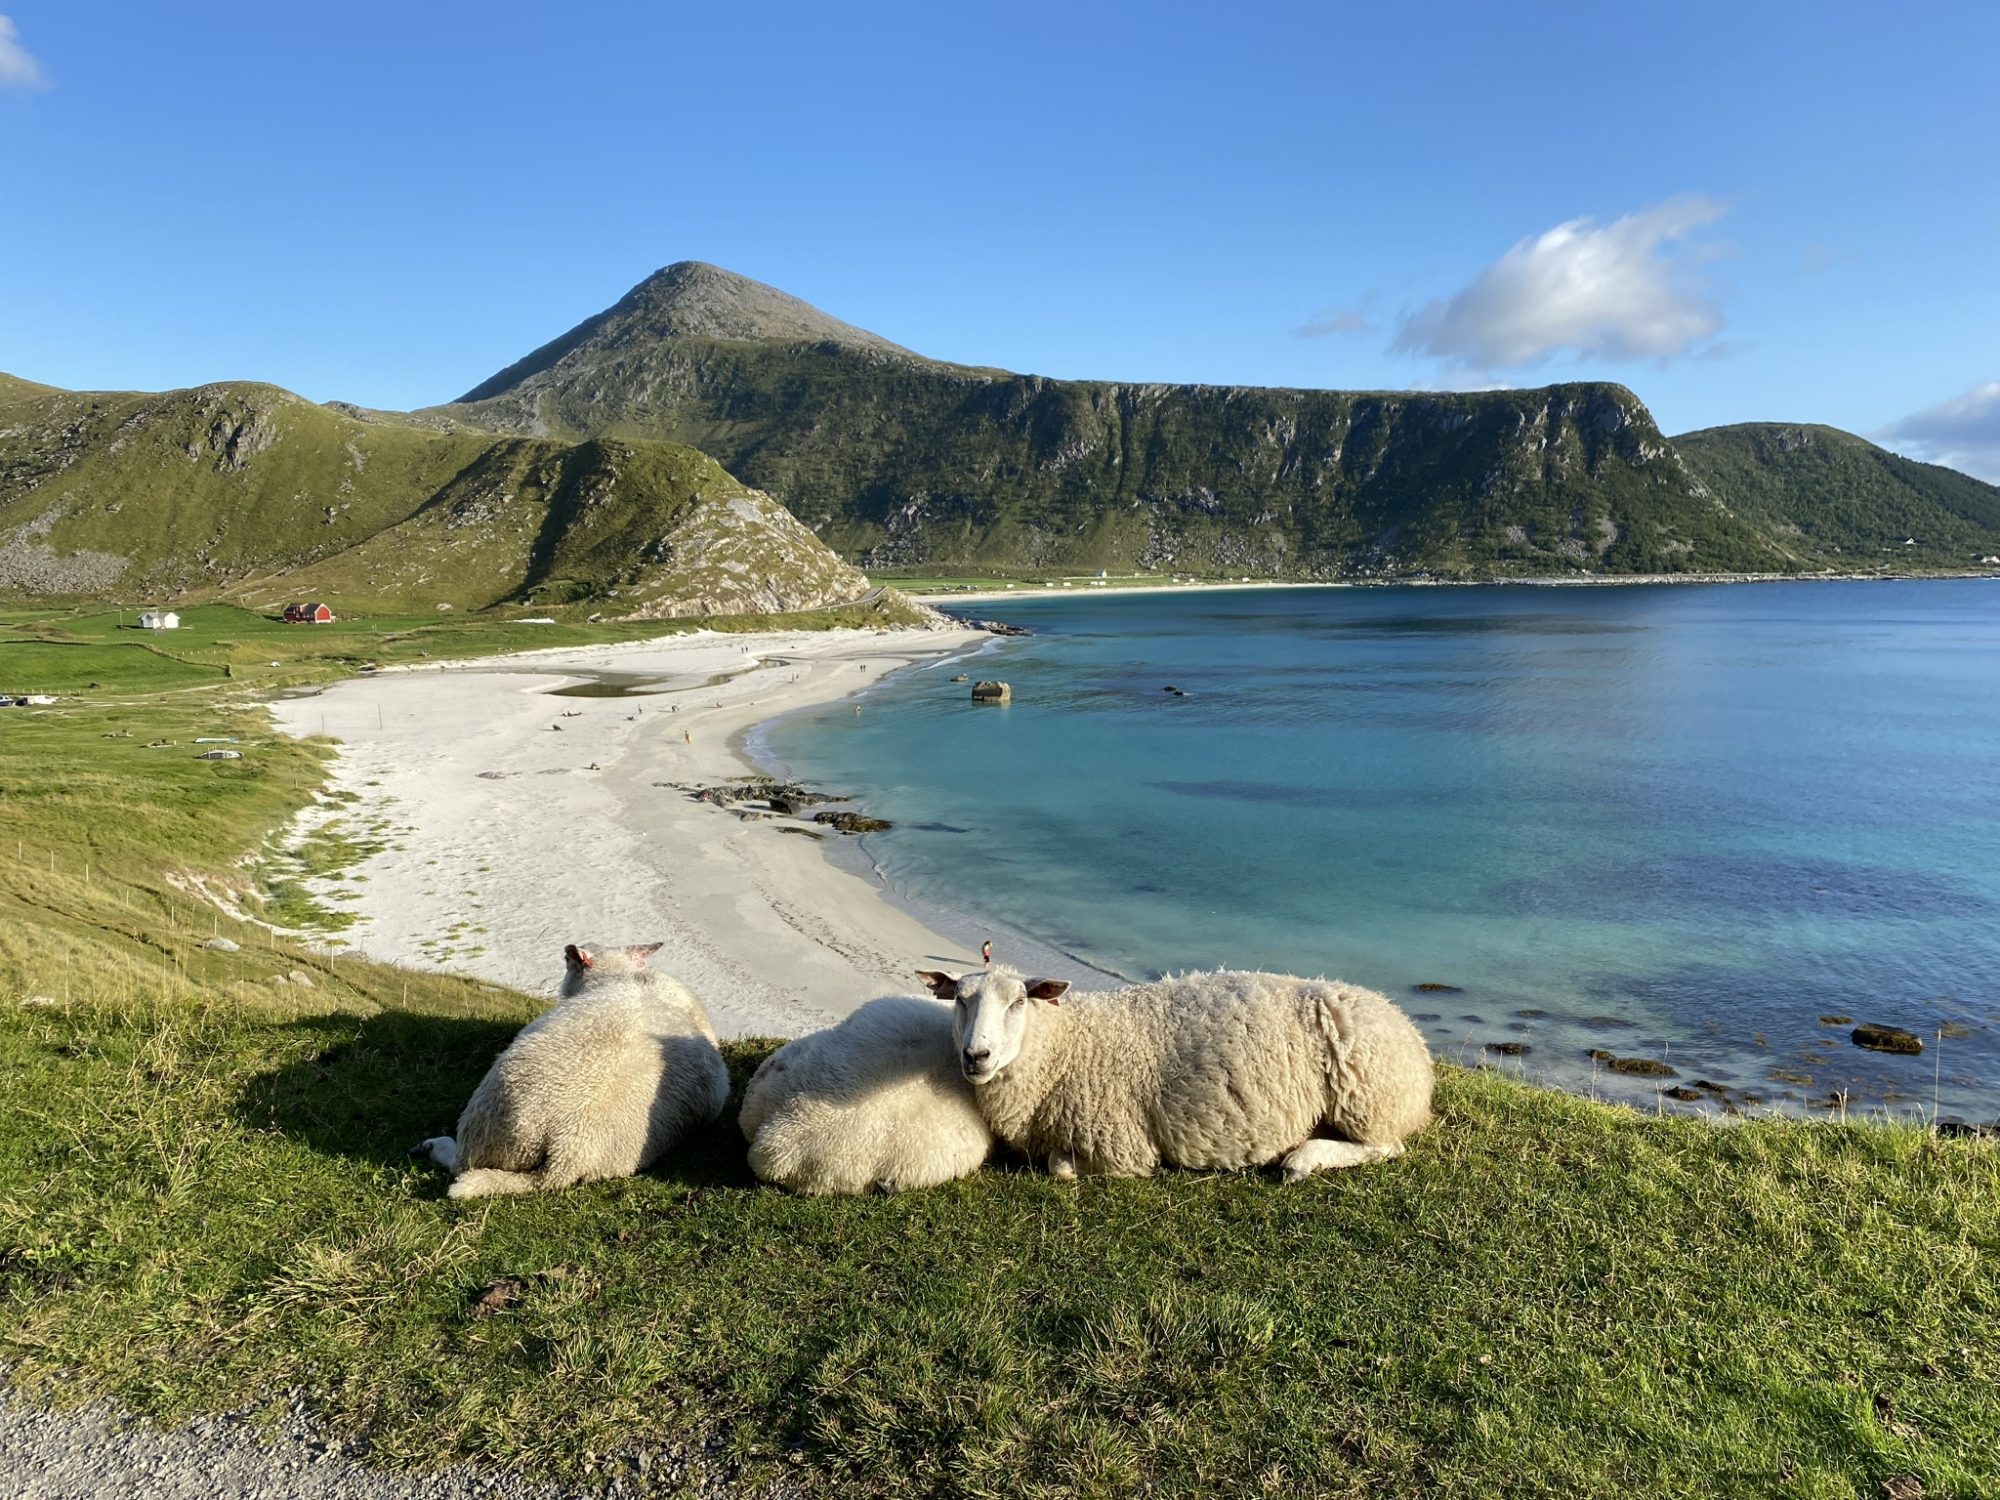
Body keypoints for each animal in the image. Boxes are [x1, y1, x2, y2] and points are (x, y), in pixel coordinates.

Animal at [412, 942, 730, 1198]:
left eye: (568, 962)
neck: (622, 976)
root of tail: (565, 1147)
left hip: (483, 1122)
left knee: (459, 1165)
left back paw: (433, 1146)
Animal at [919, 965, 1433, 1182]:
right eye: (960, 999)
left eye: (1018, 1003)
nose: (977, 1056)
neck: (1065, 1046)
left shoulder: (1122, 1144)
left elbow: (1060, 1168)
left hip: (1368, 1095)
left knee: (1386, 1146)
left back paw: (1303, 1160)